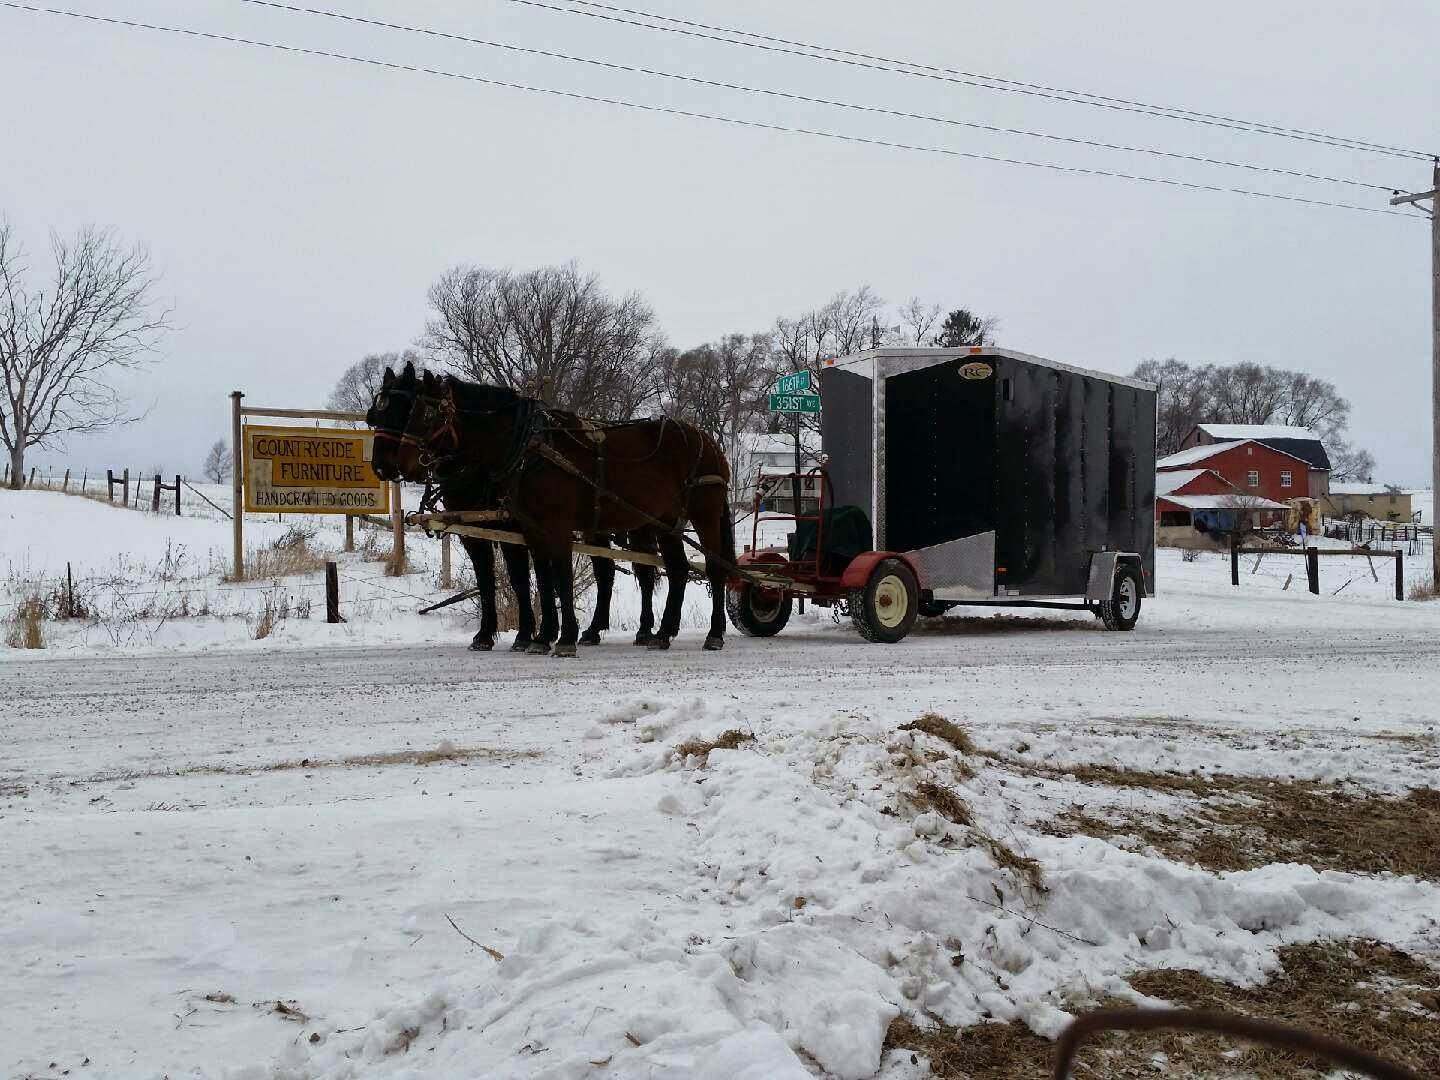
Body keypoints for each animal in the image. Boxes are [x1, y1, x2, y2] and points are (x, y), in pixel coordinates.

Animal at [411, 377, 737, 656]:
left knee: (713, 567)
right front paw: (538, 637)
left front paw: (561, 638)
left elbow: (557, 577)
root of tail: (709, 442)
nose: (410, 465)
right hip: (665, 520)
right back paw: (660, 633)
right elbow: (537, 579)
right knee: (675, 569)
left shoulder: (552, 526)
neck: (531, 448)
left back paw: (713, 634)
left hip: (703, 513)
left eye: (426, 414)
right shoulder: (524, 529)